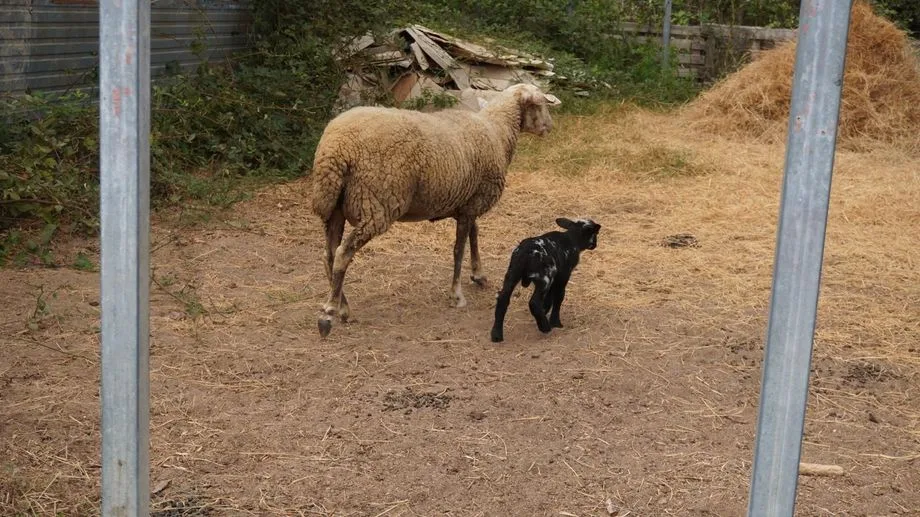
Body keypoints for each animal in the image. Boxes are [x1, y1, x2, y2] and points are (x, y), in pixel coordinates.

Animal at [311, 83, 562, 337]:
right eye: (540, 104)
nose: (550, 127)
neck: (497, 131)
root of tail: (335, 149)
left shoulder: (469, 202)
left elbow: (474, 235)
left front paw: (478, 275)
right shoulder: (474, 202)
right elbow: (459, 250)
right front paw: (457, 295)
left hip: (335, 207)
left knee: (329, 255)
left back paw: (343, 307)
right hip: (376, 203)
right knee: (343, 253)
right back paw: (329, 313)